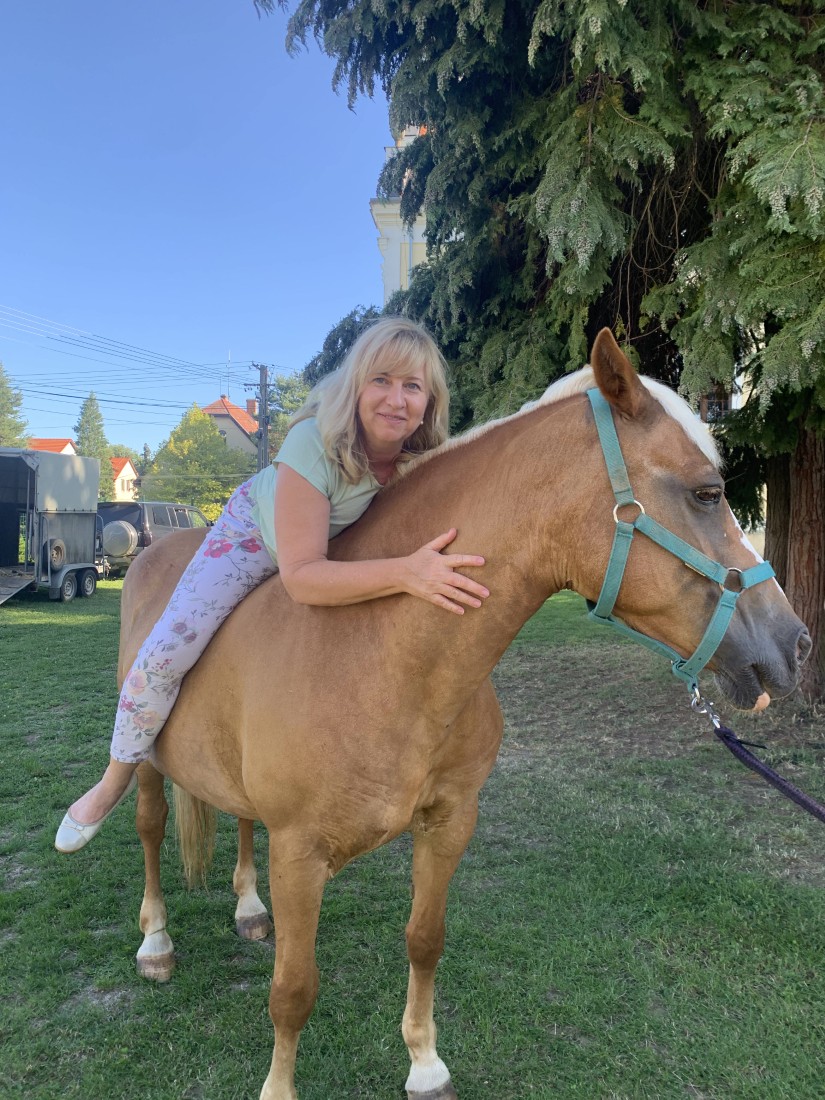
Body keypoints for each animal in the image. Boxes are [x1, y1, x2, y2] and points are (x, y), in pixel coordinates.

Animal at [120, 330, 809, 1100]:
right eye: (707, 493)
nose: (794, 644)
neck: (377, 652)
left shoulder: (449, 822)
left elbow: (425, 941)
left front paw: (425, 1066)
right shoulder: (299, 854)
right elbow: (293, 991)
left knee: (237, 821)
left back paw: (247, 910)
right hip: (145, 753)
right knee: (150, 828)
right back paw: (155, 942)